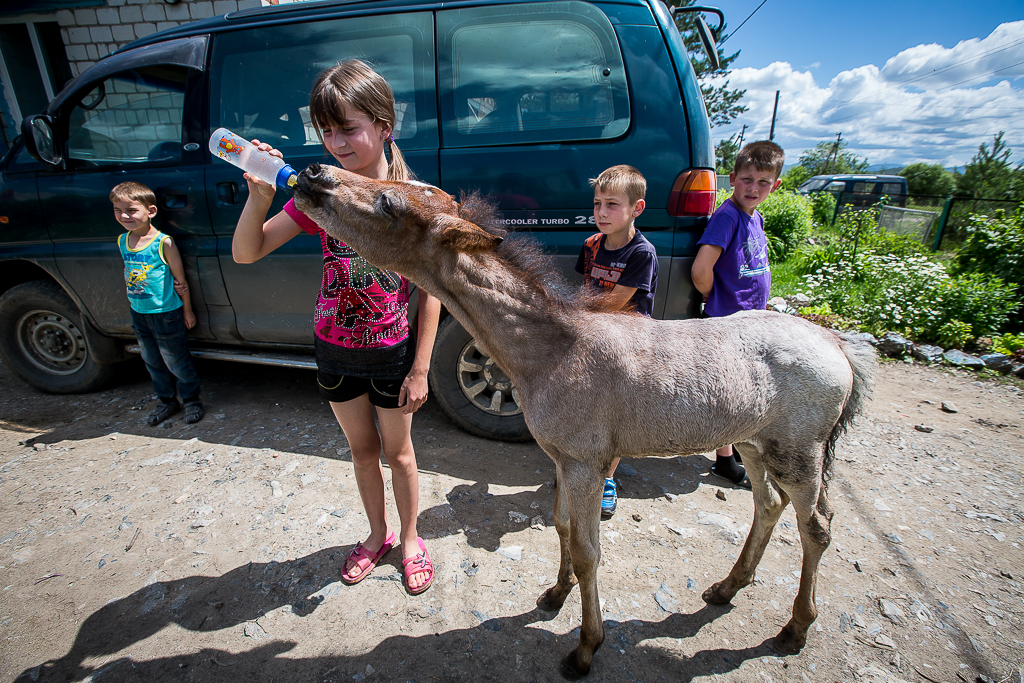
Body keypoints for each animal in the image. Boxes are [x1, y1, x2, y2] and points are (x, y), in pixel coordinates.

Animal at [292, 163, 876, 679]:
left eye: (389, 202)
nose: (312, 173)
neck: (551, 352)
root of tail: (838, 345)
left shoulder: (587, 463)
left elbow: (590, 551)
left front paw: (586, 648)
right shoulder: (561, 460)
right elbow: (563, 527)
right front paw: (555, 593)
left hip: (799, 451)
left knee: (817, 526)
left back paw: (795, 628)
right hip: (754, 443)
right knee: (768, 505)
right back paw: (727, 588)